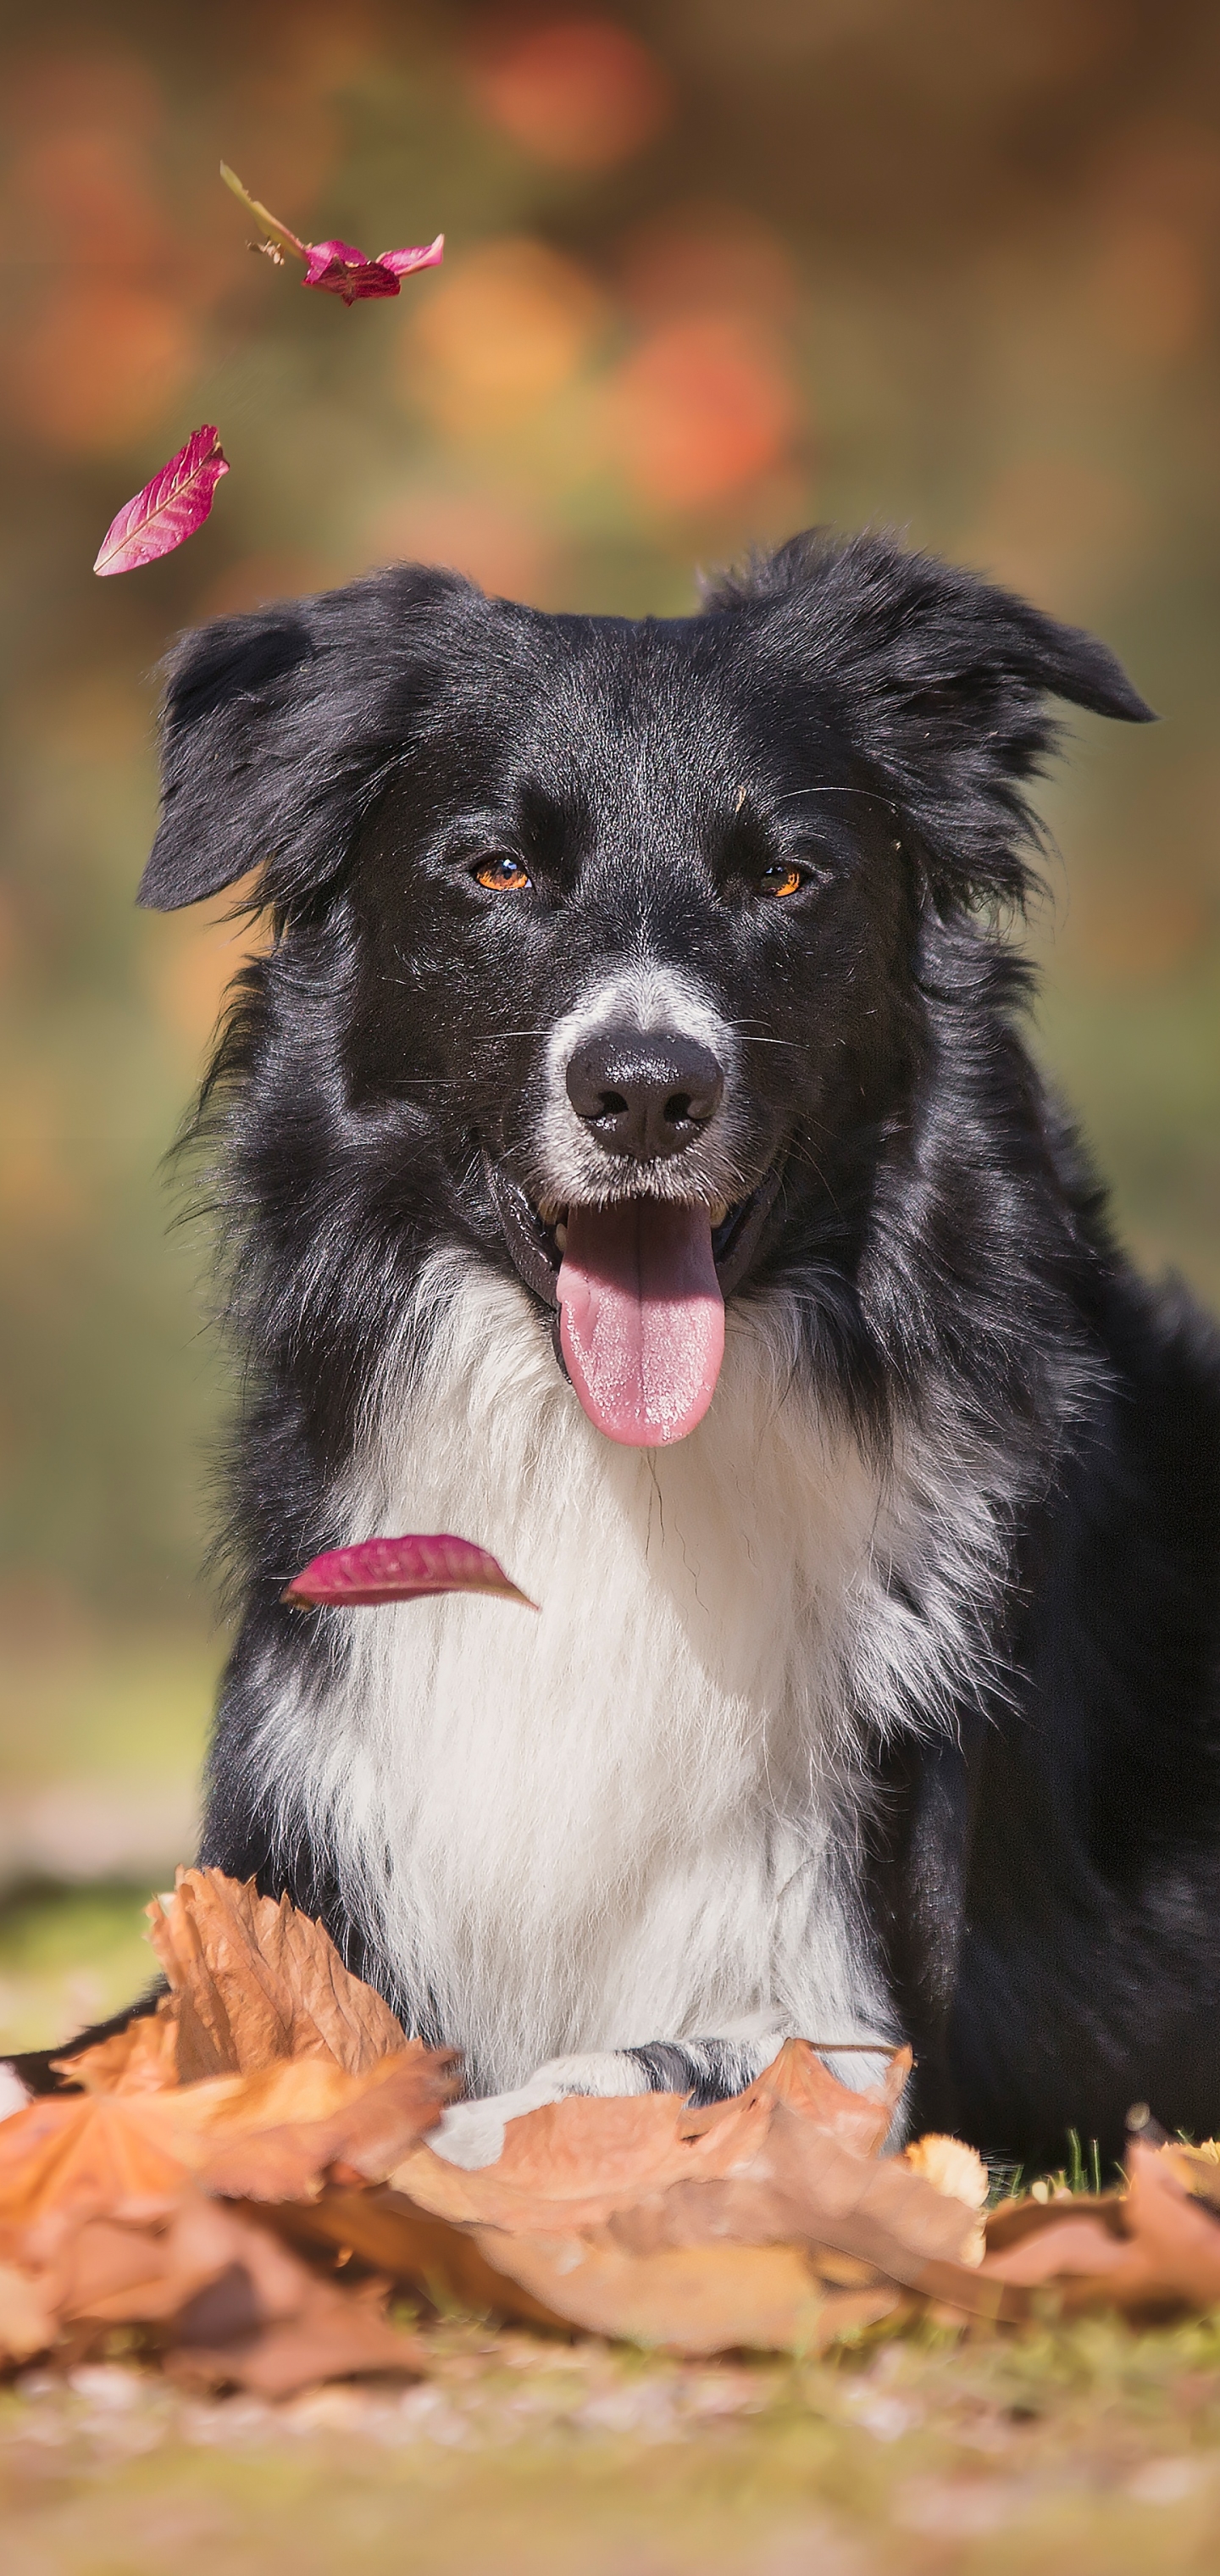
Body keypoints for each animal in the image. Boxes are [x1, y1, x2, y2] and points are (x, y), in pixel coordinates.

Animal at [12, 528, 1220, 2174]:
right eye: (499, 869)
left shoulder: (858, 2027)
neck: (602, 1466)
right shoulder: (294, 1893)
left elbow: (520, 2104)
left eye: (785, 878)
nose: (646, 1092)